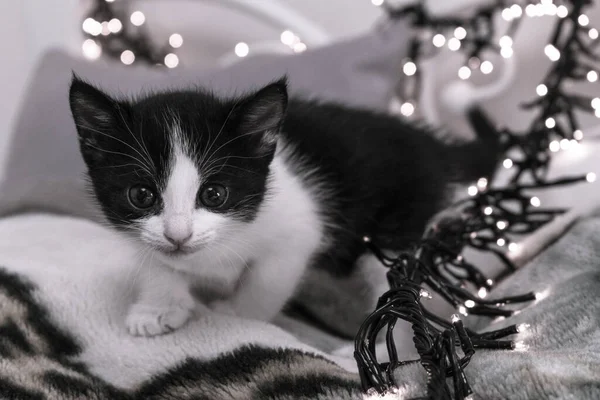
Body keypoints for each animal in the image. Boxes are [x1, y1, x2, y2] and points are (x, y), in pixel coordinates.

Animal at [68, 76, 500, 338]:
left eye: (214, 195)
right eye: (141, 195)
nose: (179, 235)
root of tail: (435, 147)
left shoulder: (298, 232)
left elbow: (265, 284)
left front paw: (234, 315)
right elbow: (158, 263)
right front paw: (157, 308)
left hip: (398, 229)